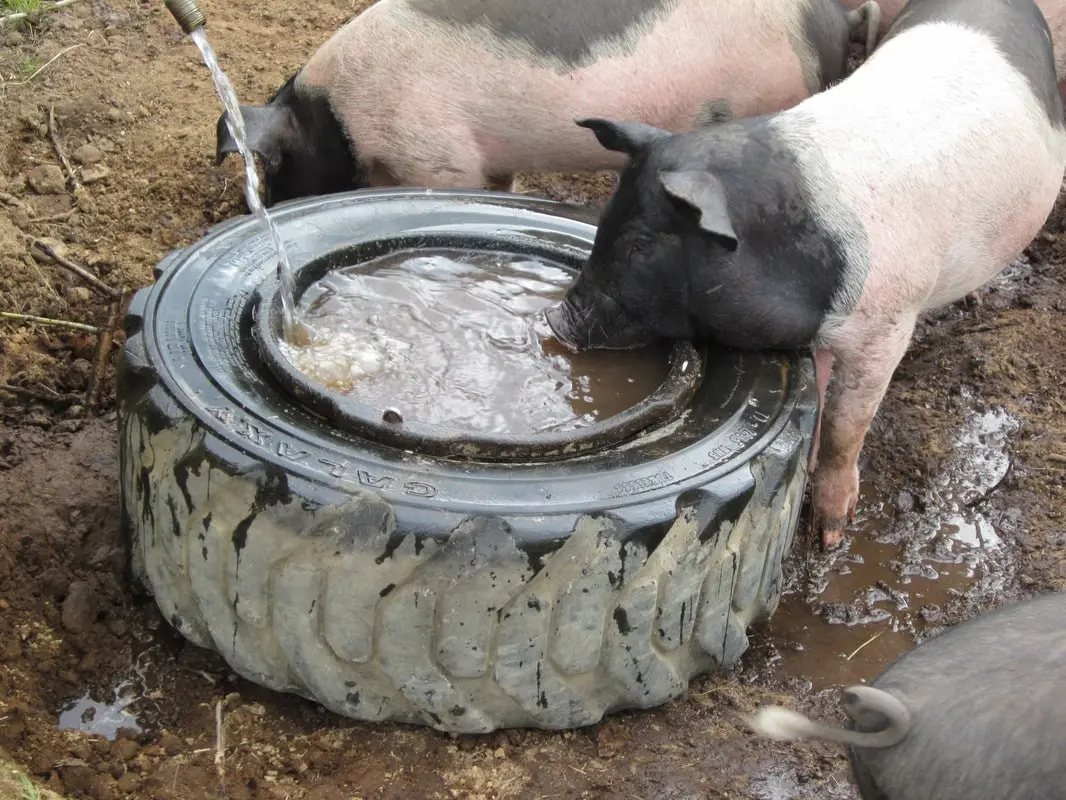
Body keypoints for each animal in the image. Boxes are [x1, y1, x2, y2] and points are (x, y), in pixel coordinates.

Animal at [214, 0, 882, 206]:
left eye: (276, 163)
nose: (262, 205)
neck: (338, 118)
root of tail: (832, 16)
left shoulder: (436, 155)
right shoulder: (488, 158)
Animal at [545, 0, 1066, 550]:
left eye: (641, 245)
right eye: (604, 218)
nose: (556, 318)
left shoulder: (888, 326)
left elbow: (844, 426)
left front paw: (831, 535)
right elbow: (816, 395)